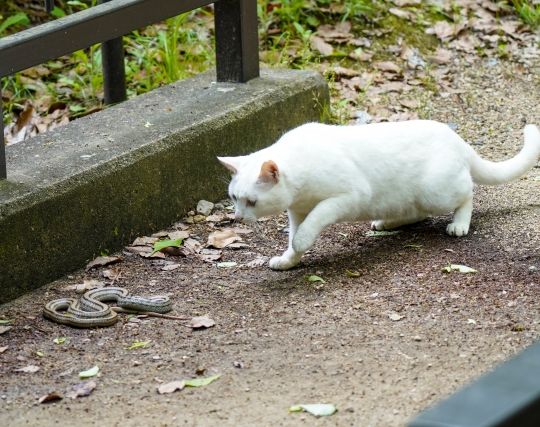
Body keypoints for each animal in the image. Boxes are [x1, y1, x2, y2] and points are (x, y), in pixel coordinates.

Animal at [218, 120, 540, 270]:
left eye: (251, 202)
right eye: (233, 198)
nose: (237, 217)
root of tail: (457, 139)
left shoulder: (347, 196)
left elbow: (312, 224)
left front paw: (301, 244)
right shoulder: (296, 211)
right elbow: (295, 236)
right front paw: (289, 260)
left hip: (436, 191)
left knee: (468, 192)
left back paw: (459, 224)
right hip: (408, 196)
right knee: (417, 213)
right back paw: (387, 223)